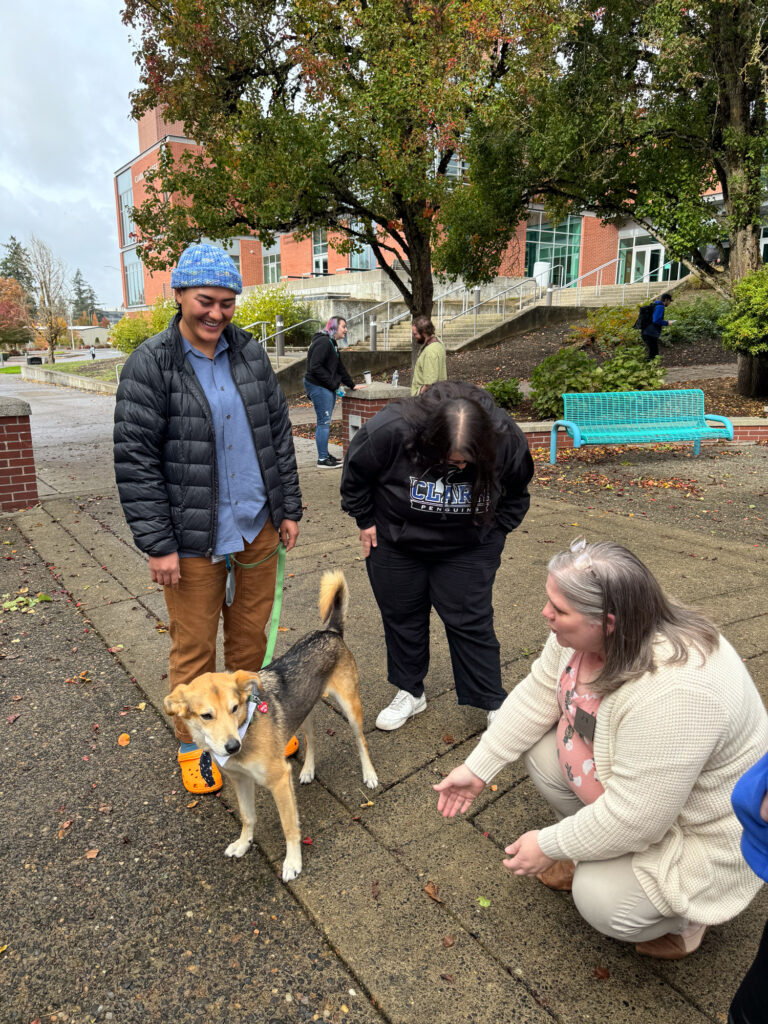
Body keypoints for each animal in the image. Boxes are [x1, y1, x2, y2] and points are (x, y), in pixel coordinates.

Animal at [164, 569, 378, 880]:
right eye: (206, 716)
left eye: (235, 708)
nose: (232, 746)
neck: (246, 730)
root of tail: (329, 631)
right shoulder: (240, 780)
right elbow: (247, 816)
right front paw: (244, 844)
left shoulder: (278, 780)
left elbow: (290, 827)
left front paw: (293, 863)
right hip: (303, 710)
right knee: (312, 739)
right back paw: (308, 770)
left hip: (351, 708)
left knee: (361, 741)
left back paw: (369, 774)